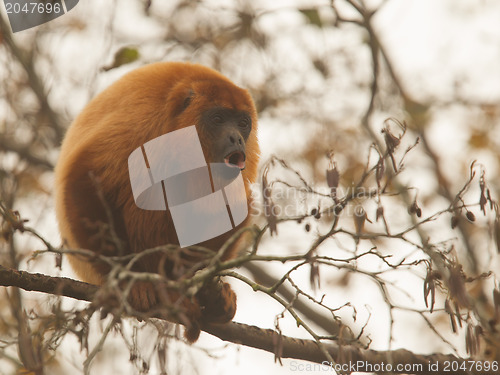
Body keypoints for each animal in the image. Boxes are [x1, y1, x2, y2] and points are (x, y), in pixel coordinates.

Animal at [54, 61, 260, 340]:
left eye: (242, 123)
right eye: (218, 119)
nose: (237, 138)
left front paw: (209, 294)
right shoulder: (141, 121)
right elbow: (85, 178)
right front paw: (128, 283)